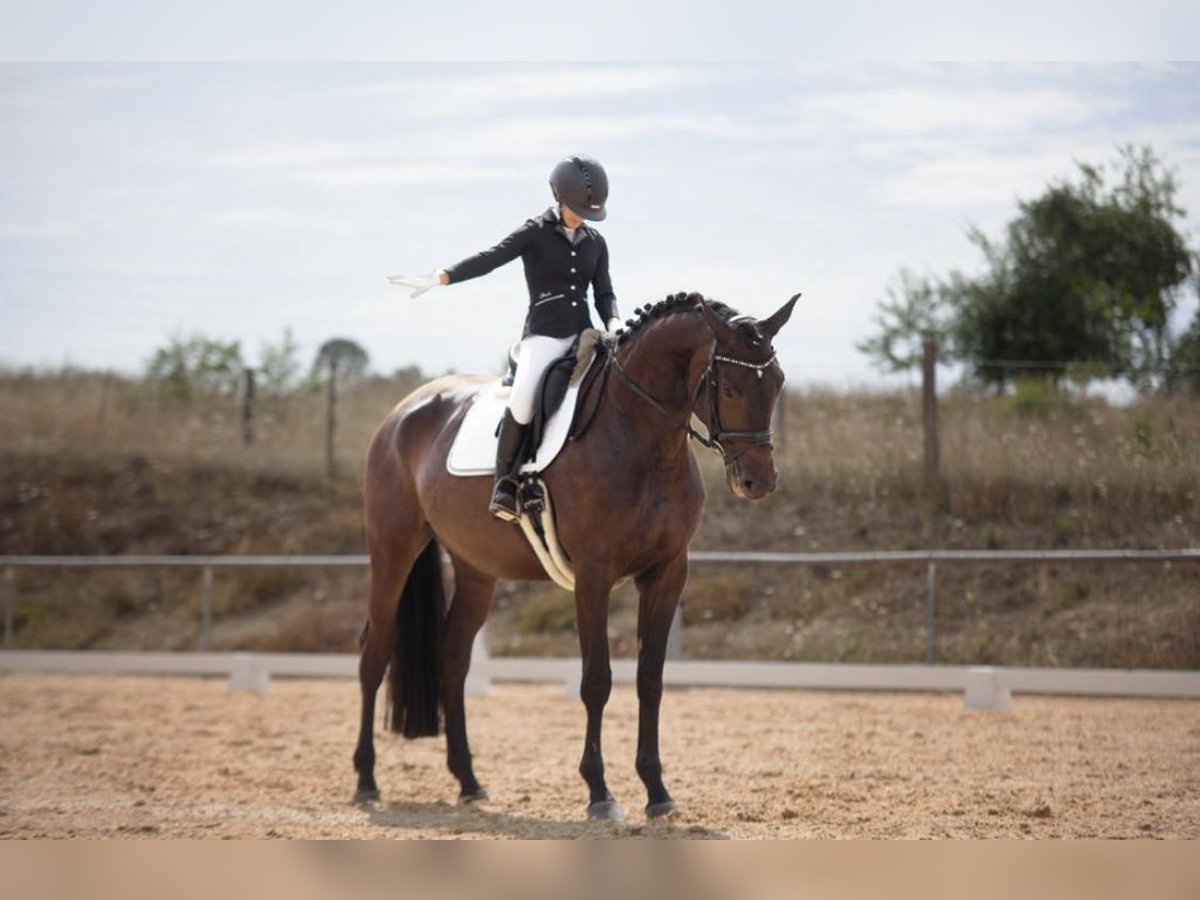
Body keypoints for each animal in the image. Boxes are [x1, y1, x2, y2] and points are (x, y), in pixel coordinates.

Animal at [355, 290, 801, 825]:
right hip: (392, 551)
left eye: (777, 384)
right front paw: (600, 793)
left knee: (452, 658)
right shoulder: (593, 575)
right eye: (730, 388)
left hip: (476, 570)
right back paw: (366, 782)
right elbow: (597, 680)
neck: (641, 437)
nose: (758, 482)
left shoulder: (668, 573)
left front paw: (657, 791)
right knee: (374, 655)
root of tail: (401, 413)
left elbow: (650, 679)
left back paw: (469, 783)